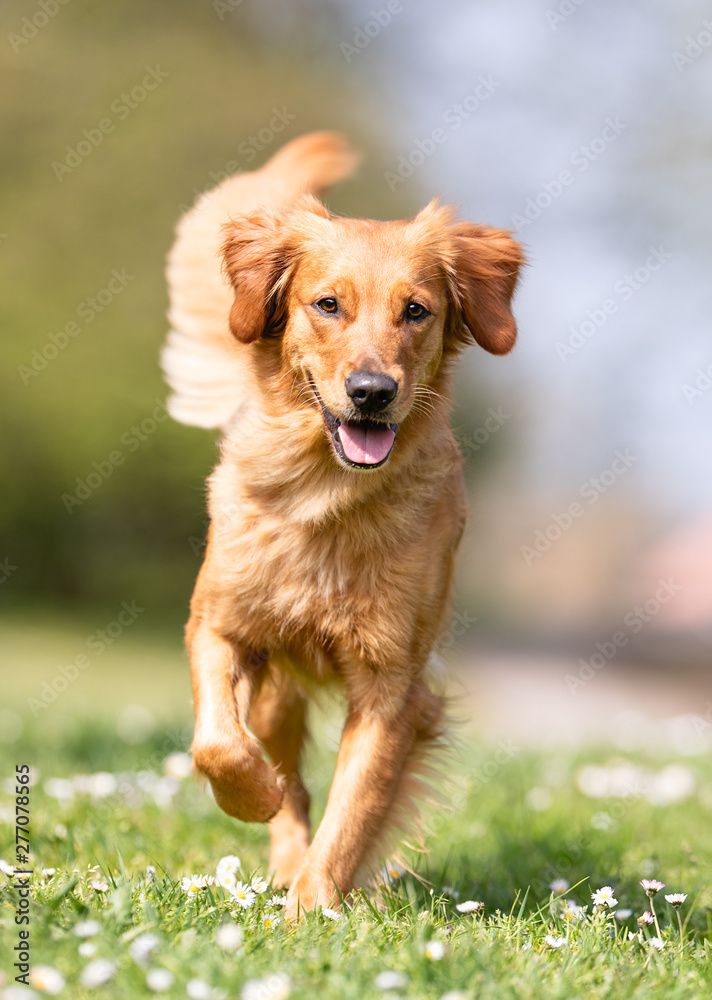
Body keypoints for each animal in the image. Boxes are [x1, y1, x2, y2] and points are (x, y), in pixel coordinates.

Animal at [164, 133, 524, 920]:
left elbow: (354, 809)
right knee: (288, 780)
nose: (371, 393)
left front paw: (312, 910)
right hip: (274, 690)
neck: (326, 497)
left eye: (416, 311)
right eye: (327, 304)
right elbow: (217, 746)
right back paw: (276, 835)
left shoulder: (394, 686)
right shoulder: (219, 623)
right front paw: (253, 800)